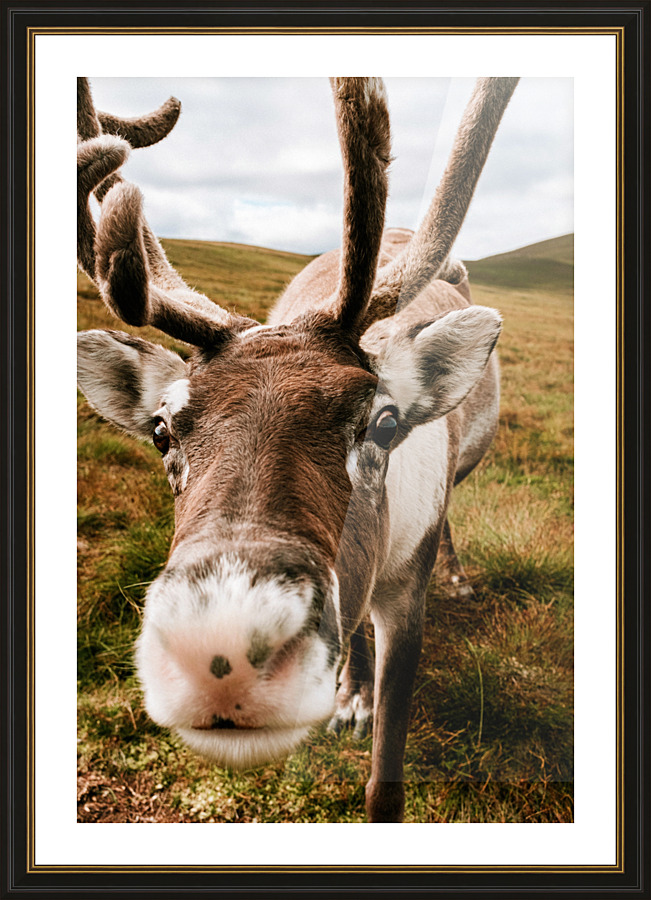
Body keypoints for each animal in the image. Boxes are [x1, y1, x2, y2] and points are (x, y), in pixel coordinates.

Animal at [77, 75, 518, 823]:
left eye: (383, 423)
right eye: (161, 430)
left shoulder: (407, 593)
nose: (220, 652)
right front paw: (351, 700)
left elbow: (384, 781)